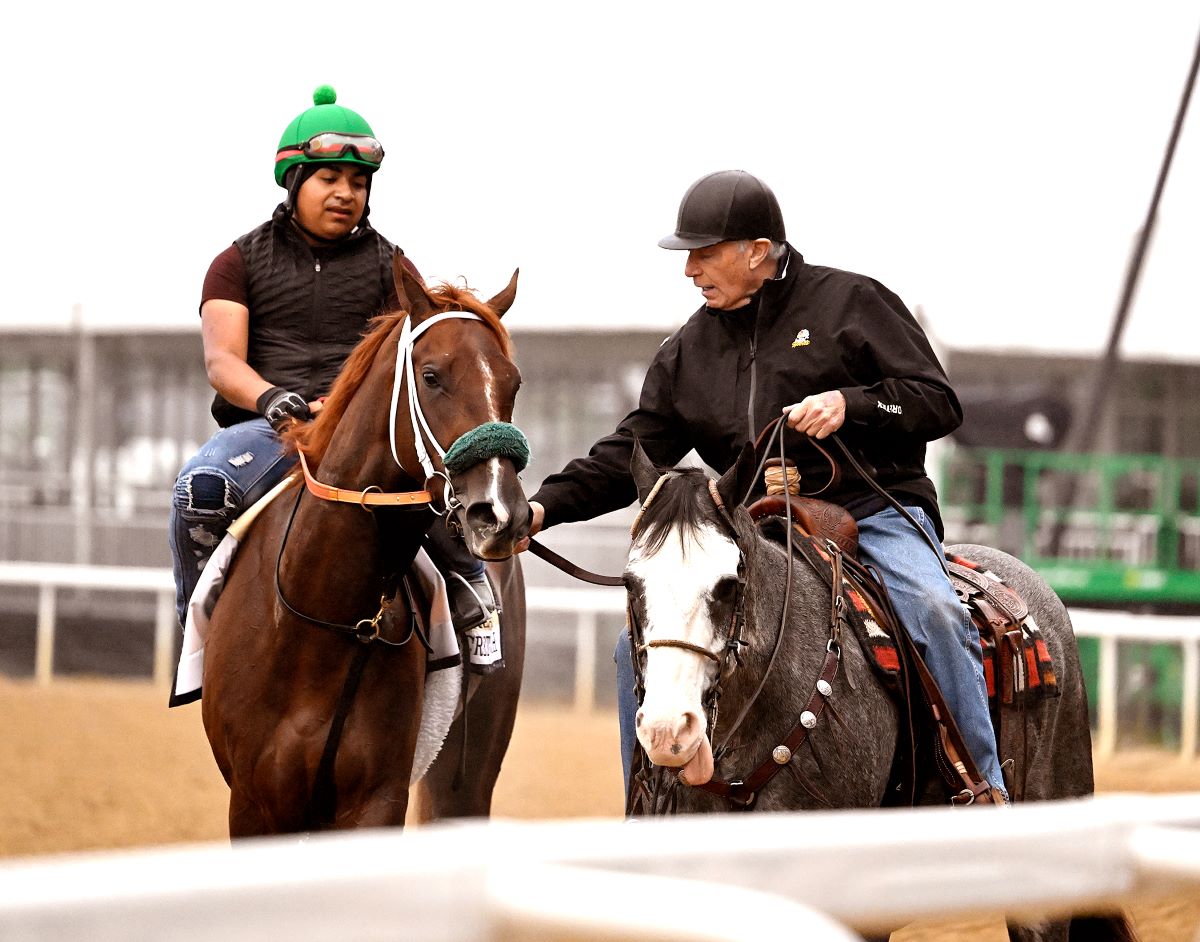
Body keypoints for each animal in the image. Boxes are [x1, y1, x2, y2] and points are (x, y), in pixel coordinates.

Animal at [201, 260, 530, 835]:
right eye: (432, 376)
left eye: (511, 382)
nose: (502, 513)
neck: (322, 618)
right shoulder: (254, 801)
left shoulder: (375, 797)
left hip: (470, 766)